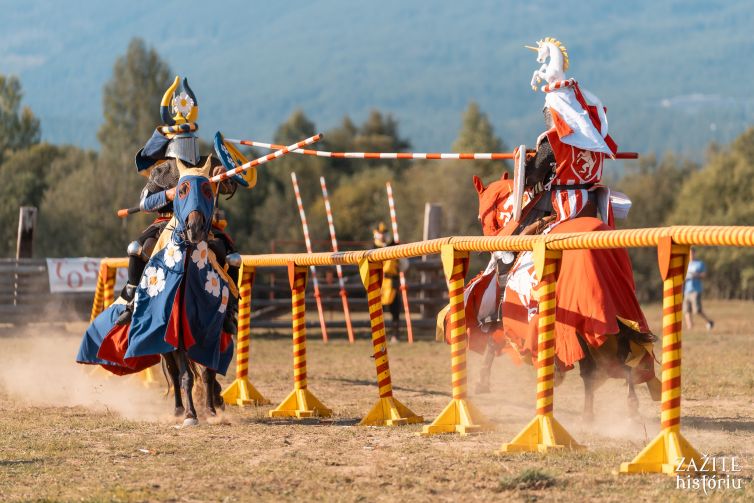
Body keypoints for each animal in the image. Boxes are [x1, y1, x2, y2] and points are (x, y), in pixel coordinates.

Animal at [77, 158, 236, 426]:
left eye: (207, 189)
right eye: (181, 190)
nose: (194, 228)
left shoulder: (209, 328)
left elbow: (208, 371)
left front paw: (211, 409)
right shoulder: (174, 332)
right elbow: (184, 375)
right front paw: (191, 414)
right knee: (174, 372)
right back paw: (179, 409)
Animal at [452, 173, 656, 422]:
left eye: (481, 215)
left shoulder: (504, 312)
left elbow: (492, 340)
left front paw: (482, 380)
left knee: (592, 370)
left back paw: (591, 413)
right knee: (619, 364)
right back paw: (626, 406)